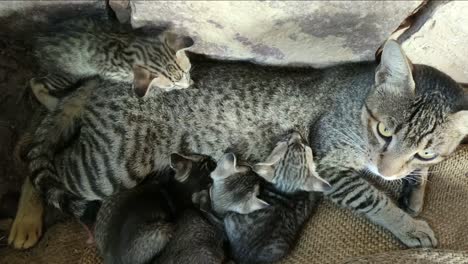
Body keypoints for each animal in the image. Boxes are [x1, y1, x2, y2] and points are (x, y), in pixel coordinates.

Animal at [32, 16, 194, 110]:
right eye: (172, 85)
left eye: (187, 71)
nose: (186, 86)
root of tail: (39, 41)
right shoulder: (113, 73)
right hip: (67, 74)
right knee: (35, 82)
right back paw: (51, 104)